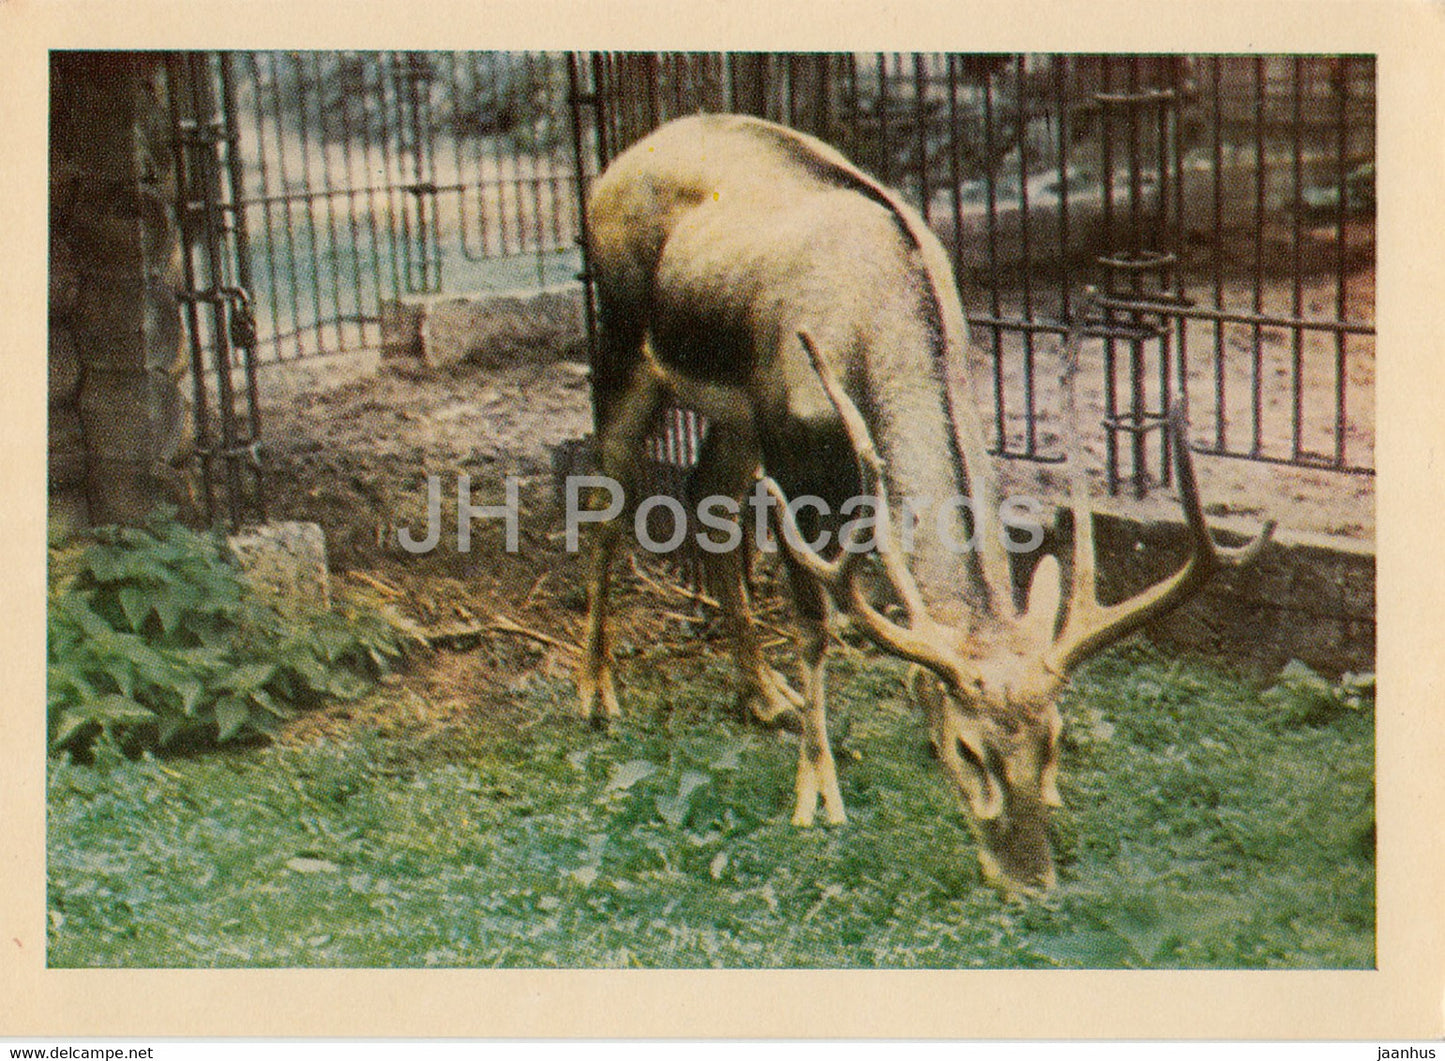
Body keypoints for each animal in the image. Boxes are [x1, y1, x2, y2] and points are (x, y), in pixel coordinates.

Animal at [576, 113, 1273, 894]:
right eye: (969, 751)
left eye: (1054, 738)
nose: (1030, 878)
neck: (872, 332)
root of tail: (622, 159)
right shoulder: (789, 446)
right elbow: (816, 624)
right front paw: (816, 795)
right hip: (623, 336)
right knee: (606, 493)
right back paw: (597, 693)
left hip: (732, 413)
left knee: (706, 496)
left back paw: (763, 694)